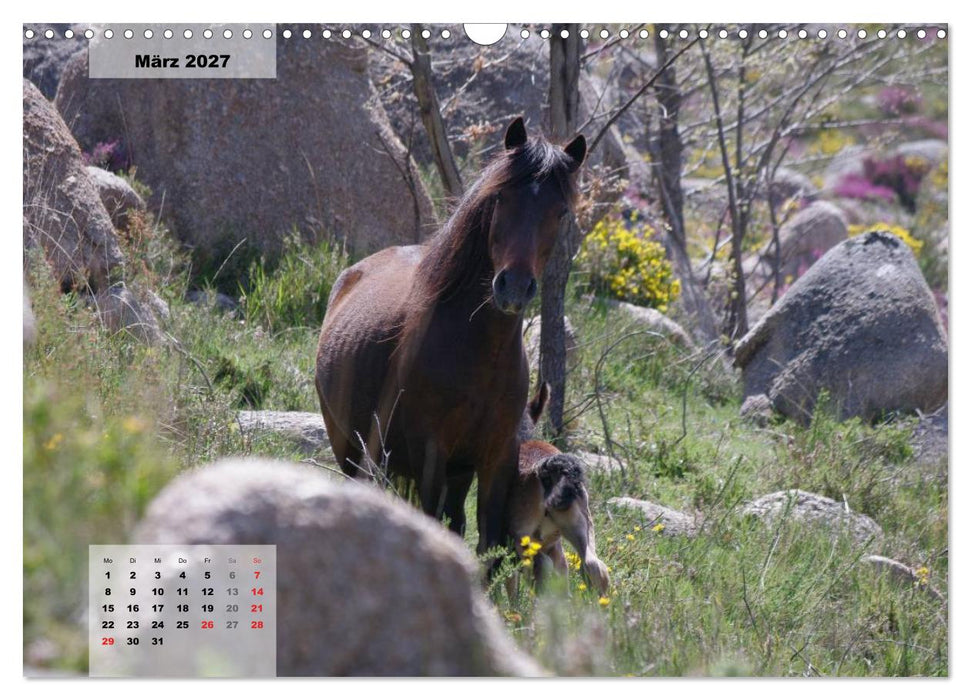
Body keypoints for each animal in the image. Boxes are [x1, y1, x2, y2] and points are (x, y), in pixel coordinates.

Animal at [315, 117, 586, 555]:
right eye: (500, 197)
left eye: (560, 212)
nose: (514, 286)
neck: (479, 353)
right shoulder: (431, 452)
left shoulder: (496, 456)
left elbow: (485, 538)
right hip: (350, 447)